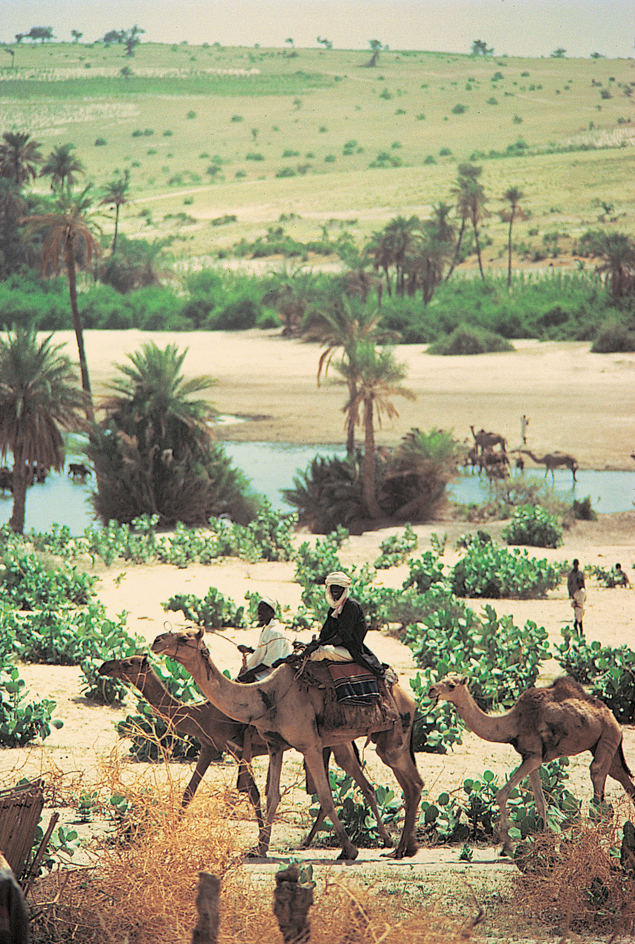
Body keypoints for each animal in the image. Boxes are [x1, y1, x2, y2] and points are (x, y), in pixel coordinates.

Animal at [100, 656, 396, 848]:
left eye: (127, 662)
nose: (104, 665)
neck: (201, 714)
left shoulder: (231, 749)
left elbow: (250, 792)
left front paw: (261, 839)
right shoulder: (211, 748)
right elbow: (189, 792)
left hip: (336, 743)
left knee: (363, 785)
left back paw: (383, 840)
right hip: (331, 743)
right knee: (353, 785)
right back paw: (310, 841)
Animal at [151, 628, 424, 864]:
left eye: (185, 637)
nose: (156, 640)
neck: (266, 696)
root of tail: (405, 693)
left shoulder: (309, 745)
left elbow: (325, 796)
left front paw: (350, 850)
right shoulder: (275, 744)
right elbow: (272, 795)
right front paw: (259, 848)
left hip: (394, 734)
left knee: (412, 783)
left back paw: (400, 849)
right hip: (376, 740)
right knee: (403, 783)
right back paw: (404, 847)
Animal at [428, 672, 635, 856]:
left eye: (451, 685)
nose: (431, 690)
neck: (512, 723)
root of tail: (614, 719)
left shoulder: (532, 756)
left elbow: (502, 794)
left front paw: (507, 846)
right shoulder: (532, 758)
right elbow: (540, 801)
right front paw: (544, 841)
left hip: (608, 735)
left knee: (597, 772)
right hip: (608, 746)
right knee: (623, 779)